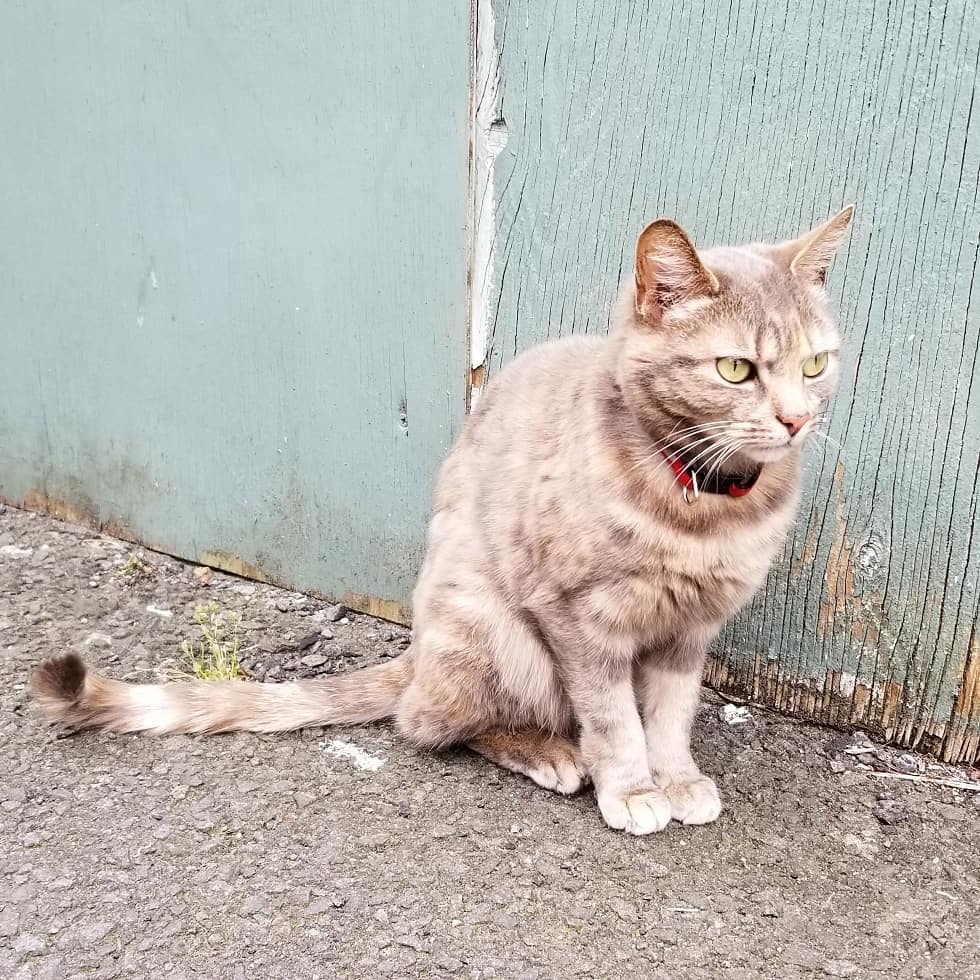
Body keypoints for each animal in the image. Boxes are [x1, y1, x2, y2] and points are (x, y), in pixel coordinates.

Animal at [34, 207, 852, 836]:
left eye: (815, 365)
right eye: (736, 370)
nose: (796, 420)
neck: (703, 502)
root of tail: (419, 648)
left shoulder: (691, 631)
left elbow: (672, 713)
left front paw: (674, 775)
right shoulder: (580, 621)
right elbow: (616, 717)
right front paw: (631, 786)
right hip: (494, 629)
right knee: (431, 722)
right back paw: (553, 754)